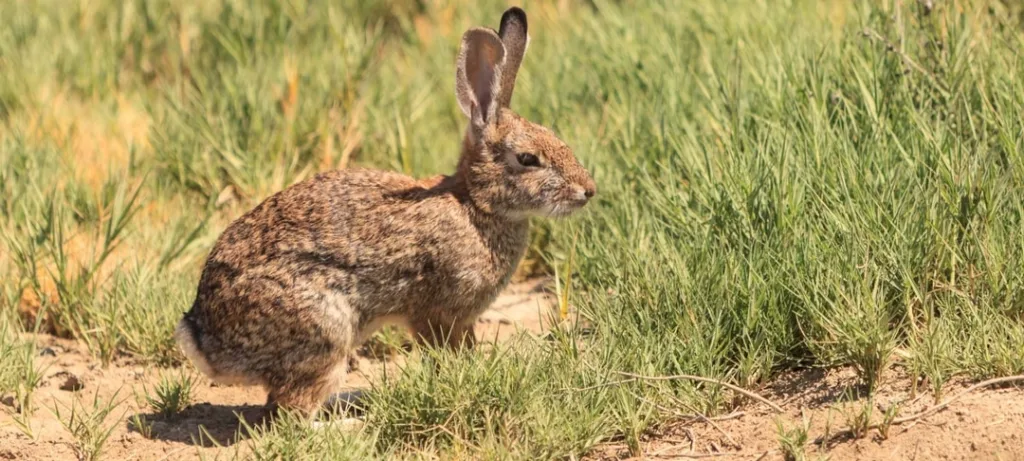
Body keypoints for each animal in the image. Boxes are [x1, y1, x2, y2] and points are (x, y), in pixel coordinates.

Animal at [174, 7, 596, 419]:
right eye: (528, 159)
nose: (588, 190)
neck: (476, 204)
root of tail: (204, 340)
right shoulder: (436, 313)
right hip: (325, 329)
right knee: (290, 409)